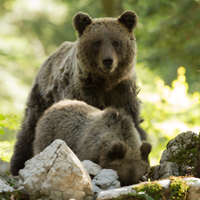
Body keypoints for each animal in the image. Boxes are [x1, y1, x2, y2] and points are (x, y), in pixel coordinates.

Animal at [9, 10, 147, 175]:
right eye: (97, 42)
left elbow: (133, 123)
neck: (105, 82)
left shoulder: (122, 92)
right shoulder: (82, 92)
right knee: (29, 126)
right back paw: (18, 164)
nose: (108, 60)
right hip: (43, 95)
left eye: (116, 42)